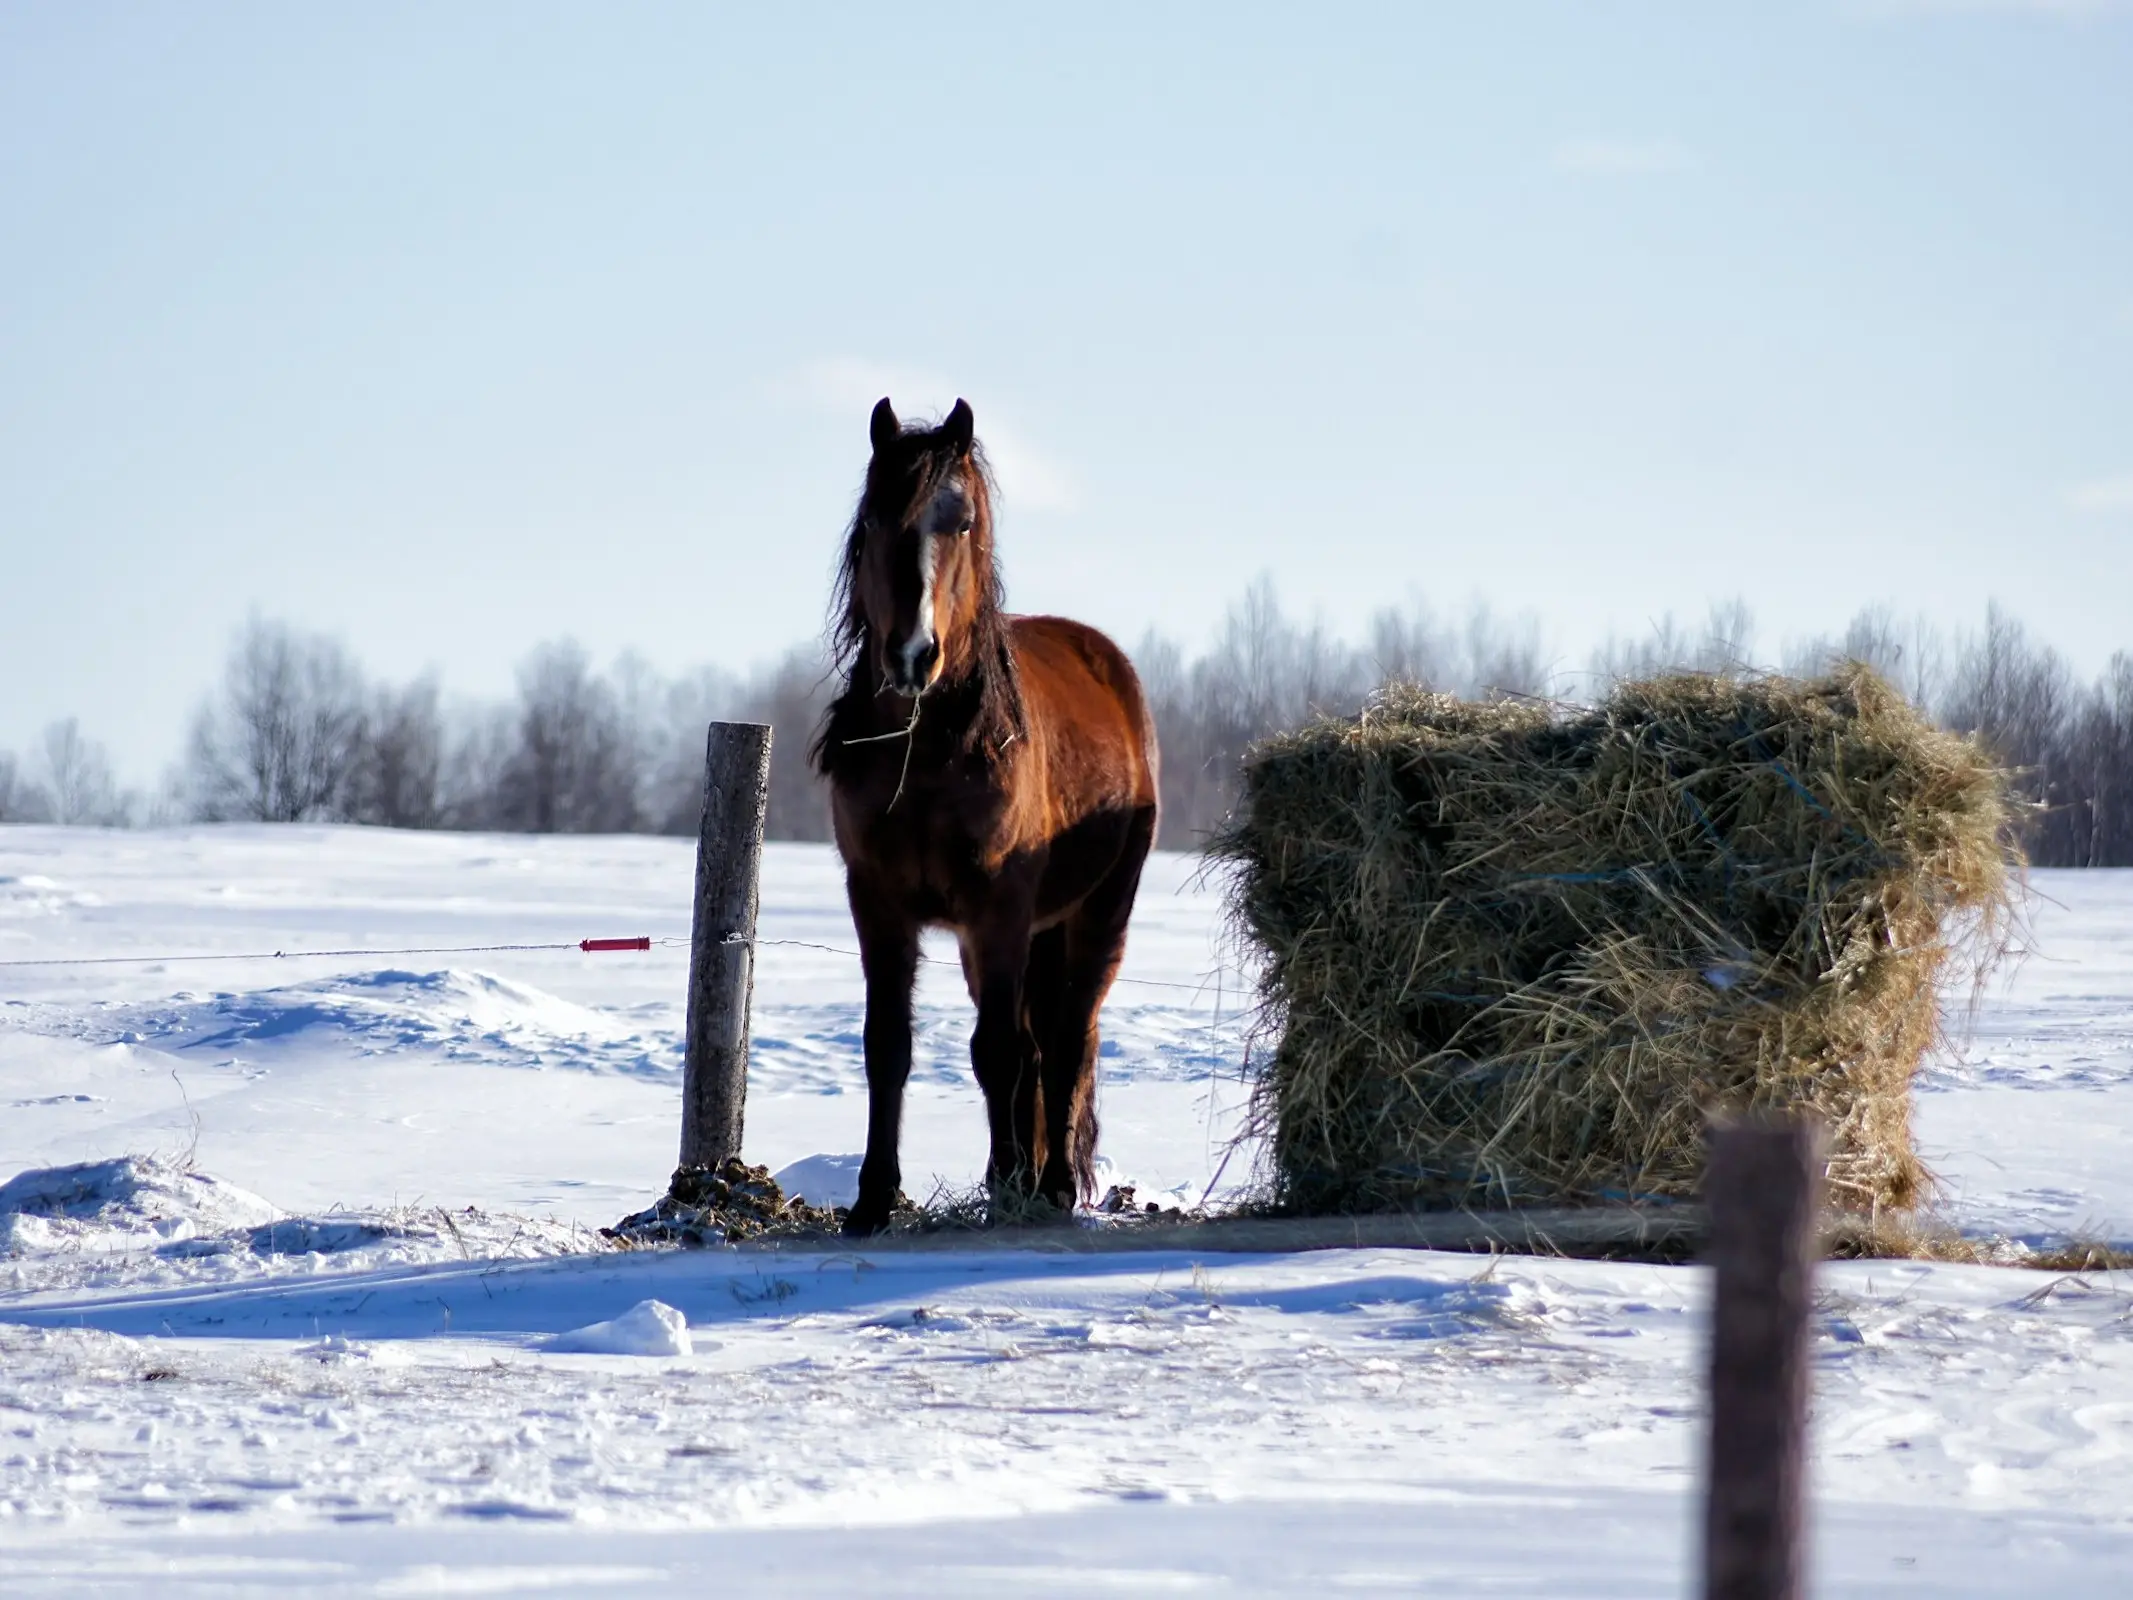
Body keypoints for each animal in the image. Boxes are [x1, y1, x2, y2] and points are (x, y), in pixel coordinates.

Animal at [806, 398, 1160, 1237]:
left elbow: (997, 1050)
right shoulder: (878, 900)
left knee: (1065, 1043)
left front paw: (1003, 1188)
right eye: (874, 517)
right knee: (1040, 1045)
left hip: (1098, 912)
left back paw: (1053, 1186)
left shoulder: (996, 903)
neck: (932, 749)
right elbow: (887, 1044)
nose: (913, 654)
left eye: (960, 521)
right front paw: (872, 1199)